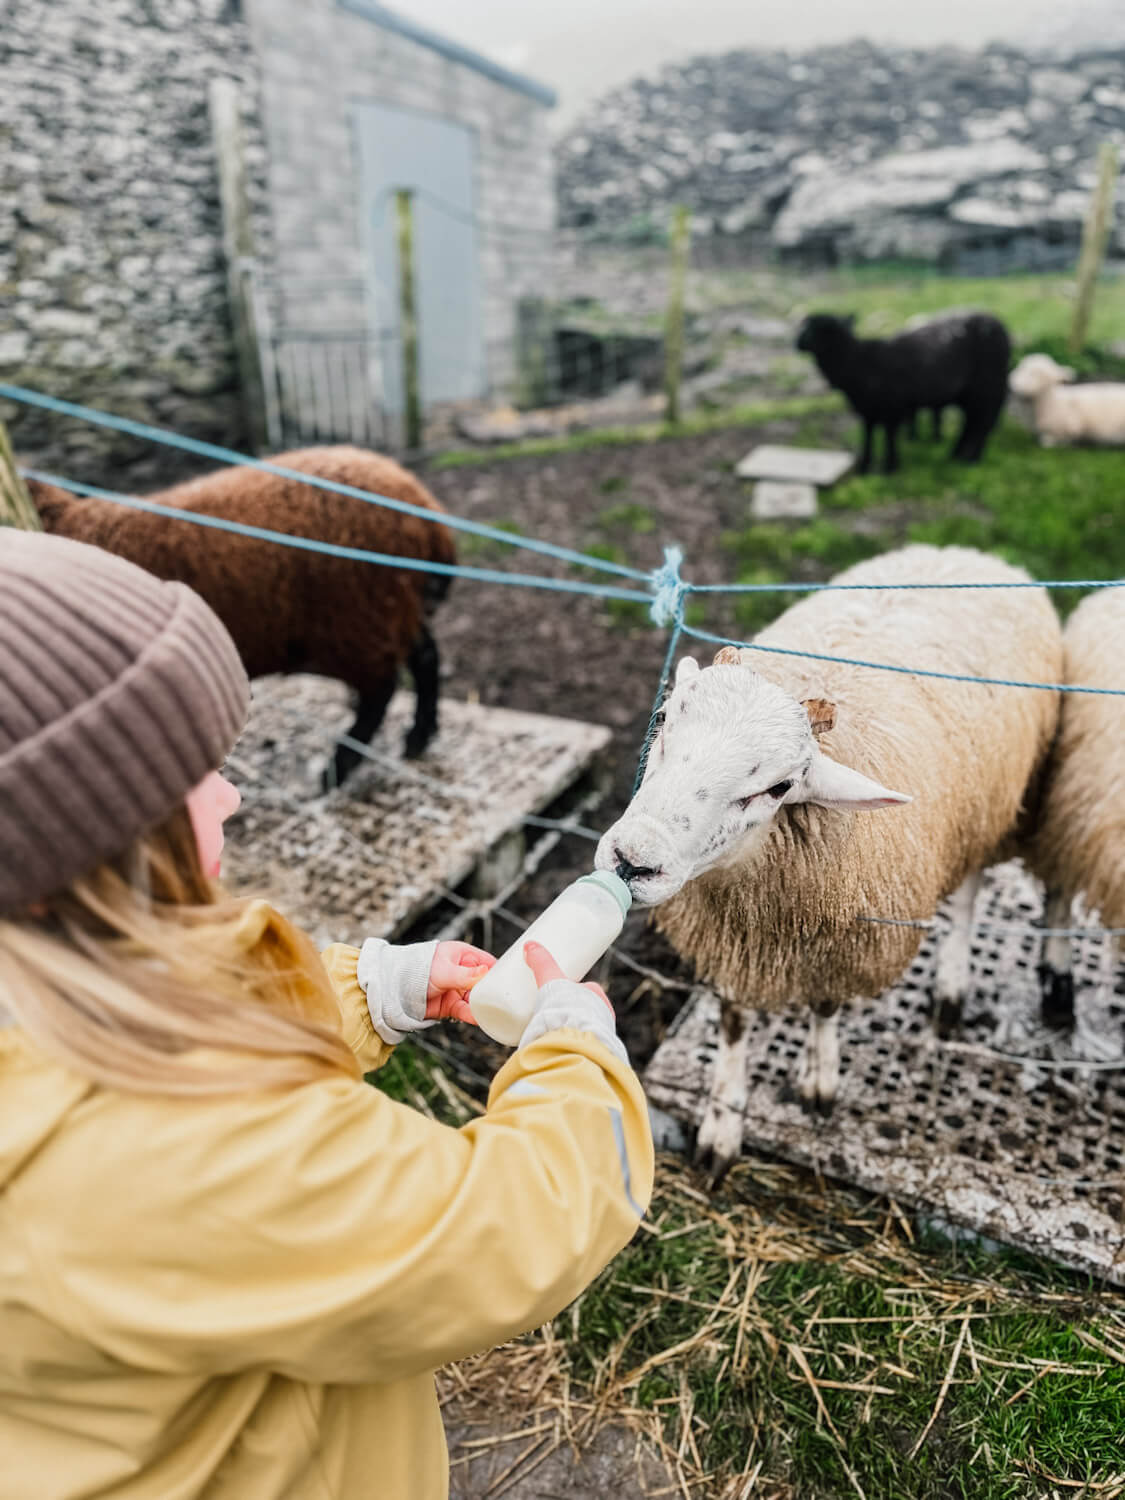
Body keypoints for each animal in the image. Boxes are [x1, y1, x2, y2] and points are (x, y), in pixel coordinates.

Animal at [26, 445, 456, 791]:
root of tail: (423, 510)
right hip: (390, 609)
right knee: (425, 657)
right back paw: (418, 738)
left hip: (357, 618)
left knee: (380, 690)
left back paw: (336, 770)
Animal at [596, 544, 1062, 1181]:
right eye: (662, 720)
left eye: (778, 788)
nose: (631, 859)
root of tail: (964, 551)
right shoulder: (733, 941)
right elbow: (734, 1025)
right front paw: (721, 1126)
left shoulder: (848, 936)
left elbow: (824, 1005)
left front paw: (819, 1082)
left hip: (986, 804)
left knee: (968, 891)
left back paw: (950, 986)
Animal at [795, 311, 1011, 474]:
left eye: (815, 330)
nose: (796, 342)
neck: (859, 361)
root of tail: (1002, 327)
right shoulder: (868, 409)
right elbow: (868, 434)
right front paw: (865, 467)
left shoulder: (893, 405)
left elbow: (889, 436)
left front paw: (890, 467)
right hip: (968, 393)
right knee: (971, 422)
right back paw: (955, 455)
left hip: (987, 386)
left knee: (982, 423)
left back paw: (972, 460)